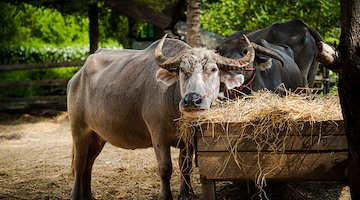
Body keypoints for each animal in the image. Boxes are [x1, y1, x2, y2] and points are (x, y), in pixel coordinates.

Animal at [66, 34, 255, 200]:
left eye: (213, 69)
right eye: (182, 70)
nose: (192, 100)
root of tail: (76, 78)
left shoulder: (188, 140)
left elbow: (185, 166)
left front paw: (185, 194)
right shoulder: (158, 135)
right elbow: (165, 167)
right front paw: (165, 195)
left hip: (97, 137)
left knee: (89, 164)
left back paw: (88, 195)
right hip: (79, 130)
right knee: (79, 163)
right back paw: (75, 195)